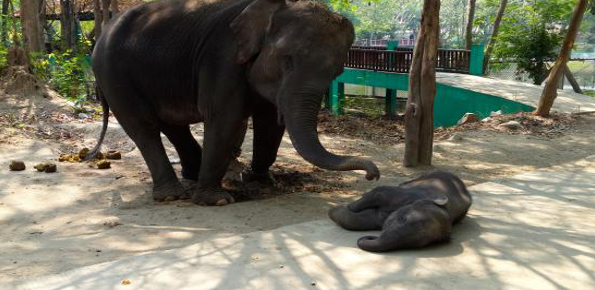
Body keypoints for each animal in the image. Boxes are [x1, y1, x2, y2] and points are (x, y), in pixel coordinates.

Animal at [91, 0, 380, 206]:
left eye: (337, 72)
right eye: (287, 60)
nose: (373, 175)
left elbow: (270, 124)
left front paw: (263, 181)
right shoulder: (222, 59)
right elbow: (224, 119)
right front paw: (217, 200)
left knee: (171, 124)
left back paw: (193, 175)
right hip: (113, 74)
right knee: (144, 127)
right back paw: (173, 195)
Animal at [328, 171, 472, 253]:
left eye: (416, 245)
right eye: (402, 219)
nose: (370, 237)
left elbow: (363, 220)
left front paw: (336, 211)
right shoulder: (401, 194)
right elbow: (378, 192)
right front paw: (344, 207)